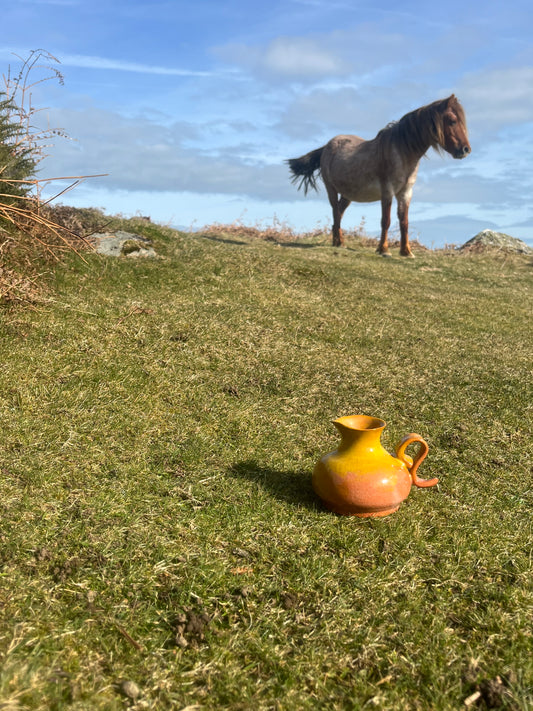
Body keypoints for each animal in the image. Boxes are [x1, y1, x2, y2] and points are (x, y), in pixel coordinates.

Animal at [286, 96, 470, 254]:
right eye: (453, 121)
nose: (465, 149)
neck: (402, 151)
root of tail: (326, 147)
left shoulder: (405, 193)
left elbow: (404, 222)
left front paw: (406, 252)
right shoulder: (387, 191)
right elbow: (386, 221)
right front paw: (384, 250)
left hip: (347, 195)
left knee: (338, 213)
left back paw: (338, 242)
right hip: (331, 189)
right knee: (335, 212)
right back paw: (340, 243)